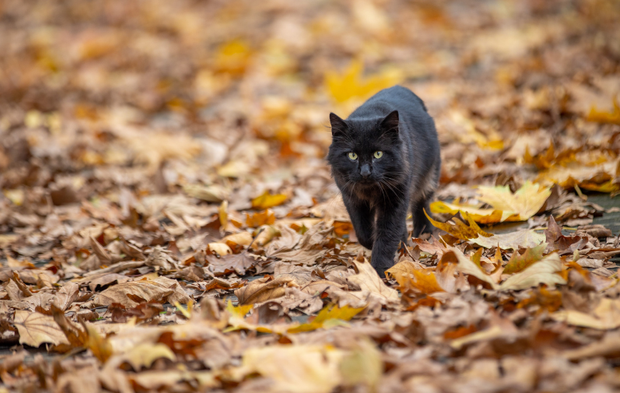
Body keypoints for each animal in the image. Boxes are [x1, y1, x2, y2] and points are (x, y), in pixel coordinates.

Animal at [330, 86, 440, 276]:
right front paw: (372, 244)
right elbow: (363, 232)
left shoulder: (395, 200)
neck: (371, 190)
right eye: (352, 155)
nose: (365, 172)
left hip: (427, 178)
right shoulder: (352, 198)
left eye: (378, 154)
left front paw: (380, 270)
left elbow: (386, 235)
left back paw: (422, 234)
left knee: (422, 205)